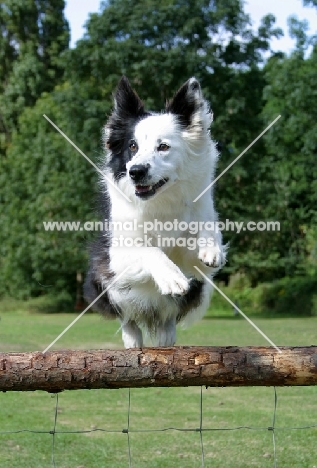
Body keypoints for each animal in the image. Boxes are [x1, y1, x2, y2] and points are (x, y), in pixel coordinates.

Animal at [84, 77, 225, 348]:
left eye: (163, 147)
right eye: (132, 145)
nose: (136, 171)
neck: (160, 201)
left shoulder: (194, 262)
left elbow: (206, 231)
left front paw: (212, 249)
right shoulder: (116, 255)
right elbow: (150, 250)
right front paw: (171, 277)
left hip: (198, 291)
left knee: (168, 317)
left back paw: (165, 335)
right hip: (103, 280)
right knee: (127, 317)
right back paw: (132, 338)